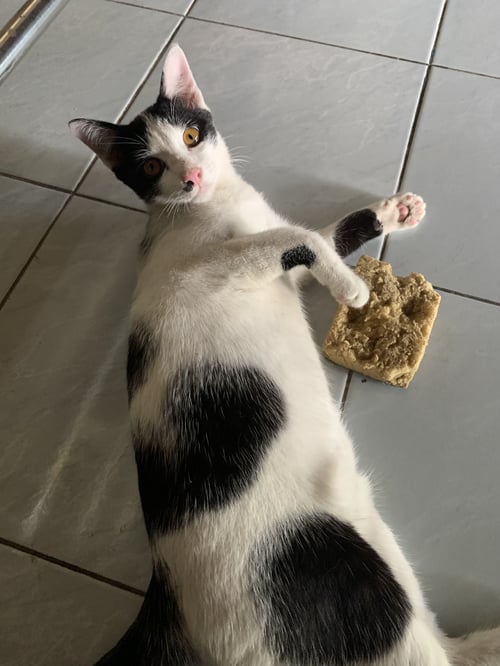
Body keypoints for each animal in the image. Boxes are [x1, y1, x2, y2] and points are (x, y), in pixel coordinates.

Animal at [70, 44, 500, 666]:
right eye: (151, 168)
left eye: (192, 135)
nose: (192, 176)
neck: (212, 206)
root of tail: (167, 595)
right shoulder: (215, 269)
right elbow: (300, 236)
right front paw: (356, 291)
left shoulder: (280, 265)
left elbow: (323, 235)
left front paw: (392, 214)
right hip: (340, 574)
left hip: (371, 533)